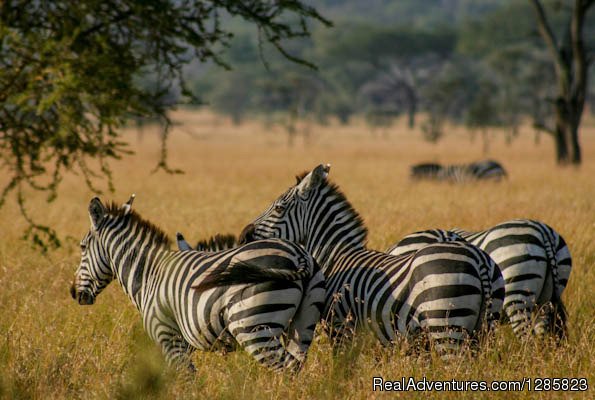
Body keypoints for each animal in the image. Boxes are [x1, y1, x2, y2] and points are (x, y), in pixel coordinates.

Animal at [73, 195, 330, 374]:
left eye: (82, 247)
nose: (74, 293)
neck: (149, 274)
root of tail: (299, 255)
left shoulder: (168, 337)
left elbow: (184, 379)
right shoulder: (182, 343)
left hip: (254, 327)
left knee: (286, 367)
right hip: (303, 324)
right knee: (296, 364)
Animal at [237, 164, 502, 354]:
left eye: (279, 208)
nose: (243, 236)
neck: (337, 255)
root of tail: (479, 259)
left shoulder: (341, 327)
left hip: (447, 326)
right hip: (483, 328)